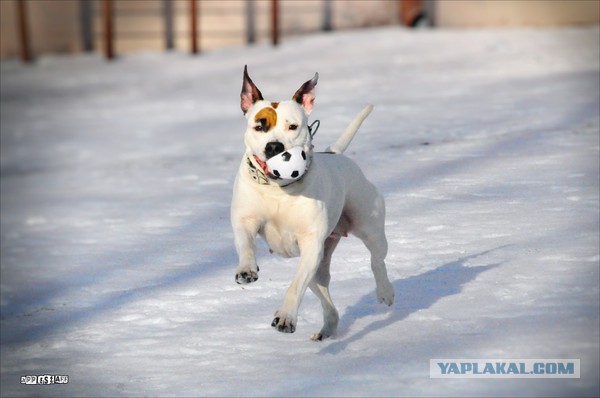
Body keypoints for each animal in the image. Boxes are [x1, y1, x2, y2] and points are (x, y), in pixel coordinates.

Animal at [230, 67, 394, 340]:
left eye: (292, 126)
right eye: (260, 125)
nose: (274, 146)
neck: (279, 189)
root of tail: (336, 154)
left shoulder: (311, 246)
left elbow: (295, 286)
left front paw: (286, 317)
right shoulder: (245, 221)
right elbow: (246, 246)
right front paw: (247, 270)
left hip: (367, 226)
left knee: (376, 259)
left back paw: (385, 291)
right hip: (320, 265)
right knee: (326, 297)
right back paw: (327, 329)